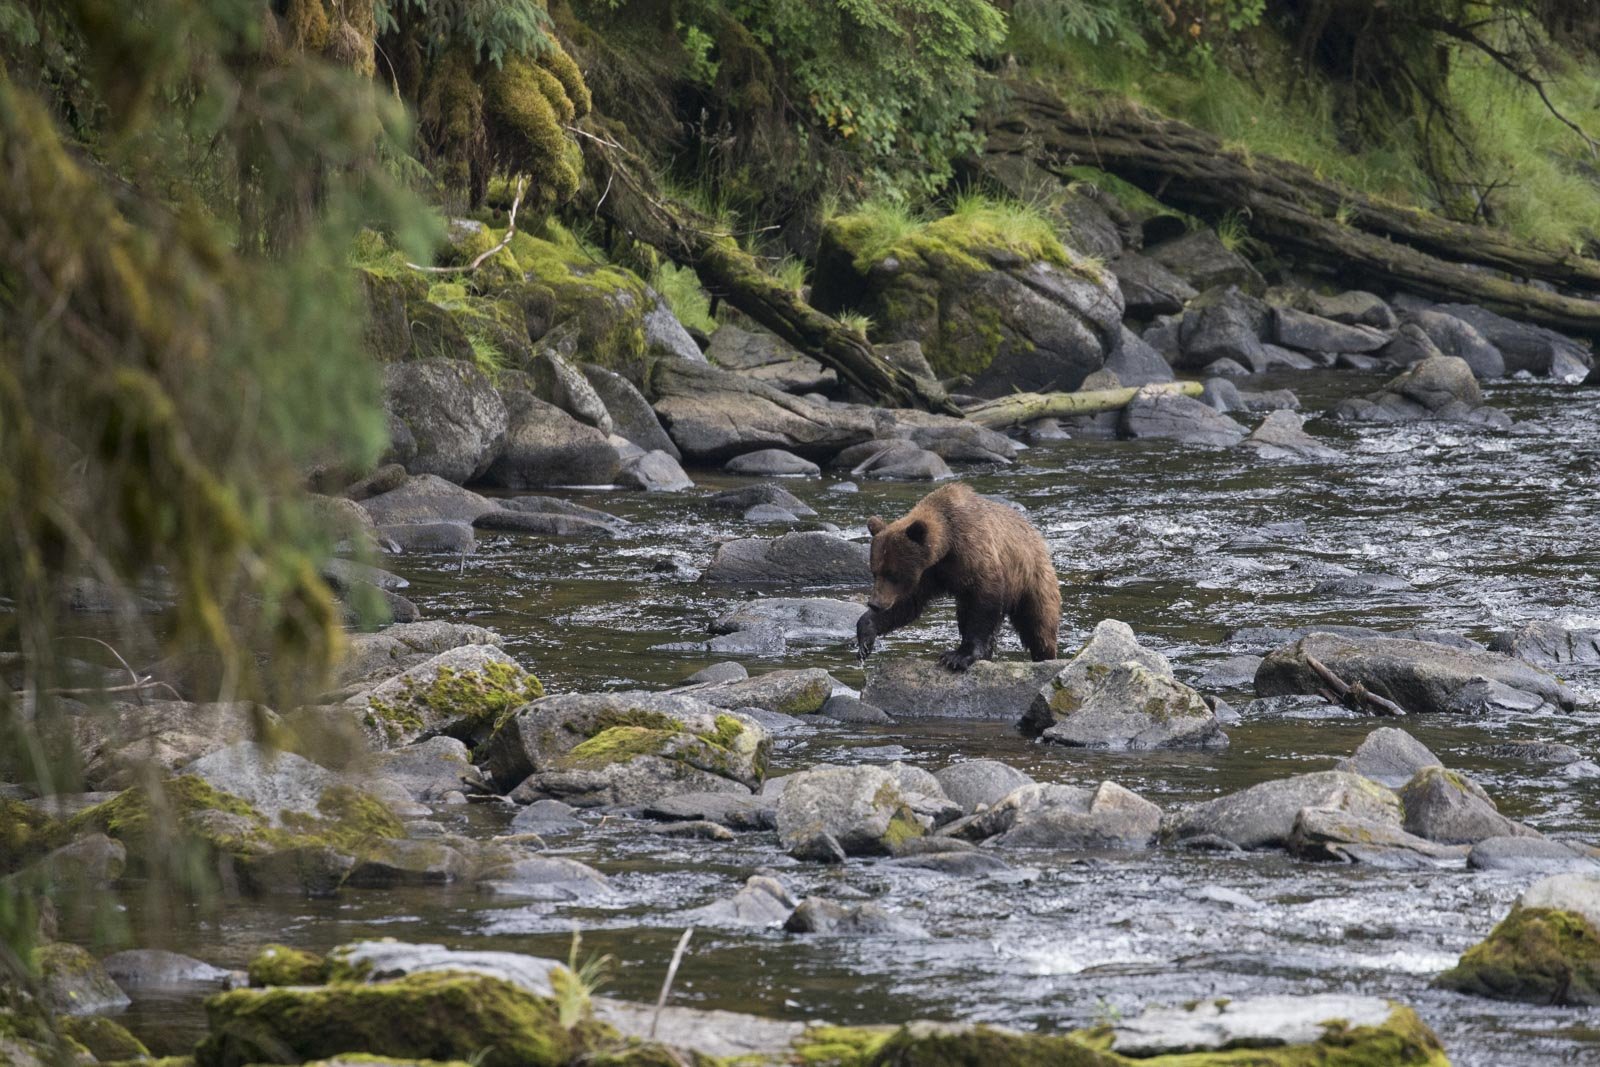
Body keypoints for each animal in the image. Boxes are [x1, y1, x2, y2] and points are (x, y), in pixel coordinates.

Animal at [851, 486, 1062, 675]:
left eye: (893, 574)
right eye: (875, 572)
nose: (875, 603)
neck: (947, 546)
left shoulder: (976, 559)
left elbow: (982, 606)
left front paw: (958, 657)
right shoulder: (929, 573)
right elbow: (907, 604)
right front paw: (865, 636)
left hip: (1032, 581)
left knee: (1038, 624)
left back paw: (1045, 656)